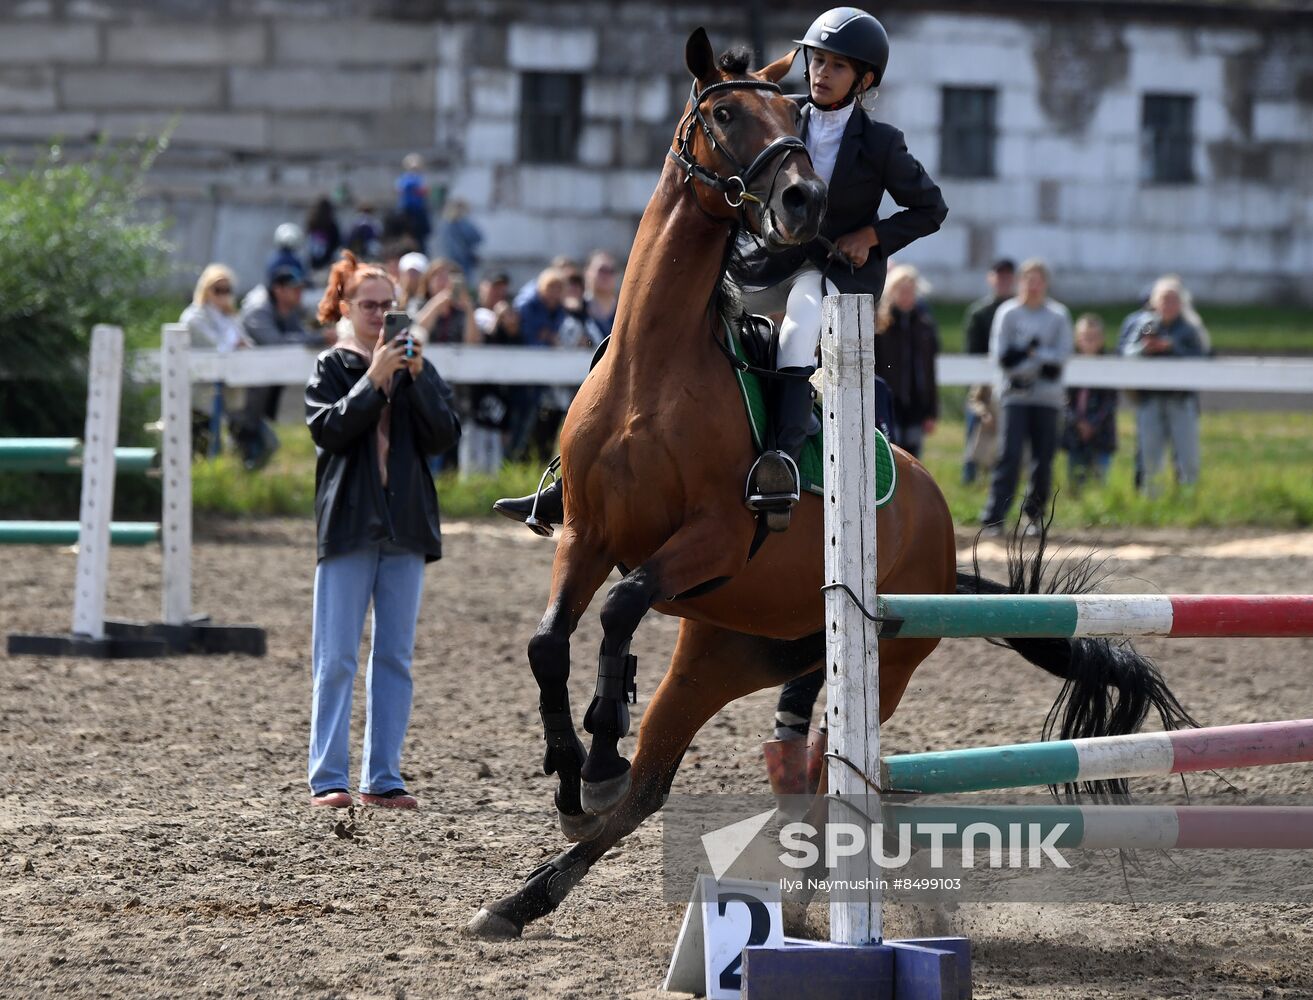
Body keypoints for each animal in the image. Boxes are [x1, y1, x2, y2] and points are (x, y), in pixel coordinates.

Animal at [470, 29, 1192, 934]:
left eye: (794, 119)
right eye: (725, 114)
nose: (803, 201)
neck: (651, 366)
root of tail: (942, 537)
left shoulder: (711, 538)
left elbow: (621, 607)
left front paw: (599, 750)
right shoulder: (586, 533)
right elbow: (548, 641)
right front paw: (572, 777)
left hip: (876, 665)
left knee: (823, 780)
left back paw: (795, 897)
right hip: (726, 651)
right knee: (659, 785)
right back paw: (523, 898)